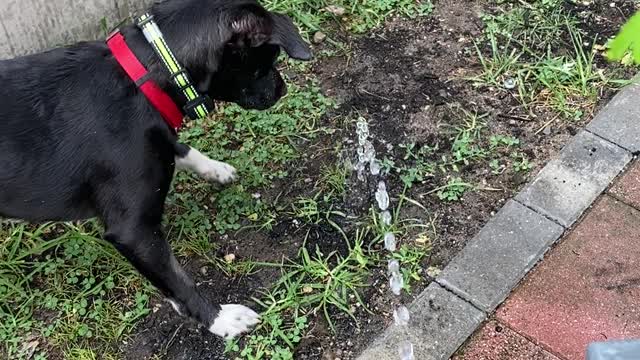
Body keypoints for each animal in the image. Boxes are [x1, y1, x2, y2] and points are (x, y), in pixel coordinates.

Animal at [0, 0, 312, 338]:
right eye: (268, 59)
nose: (282, 88)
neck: (145, 75)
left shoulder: (160, 135)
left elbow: (179, 147)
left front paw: (214, 168)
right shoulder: (133, 232)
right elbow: (179, 281)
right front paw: (218, 319)